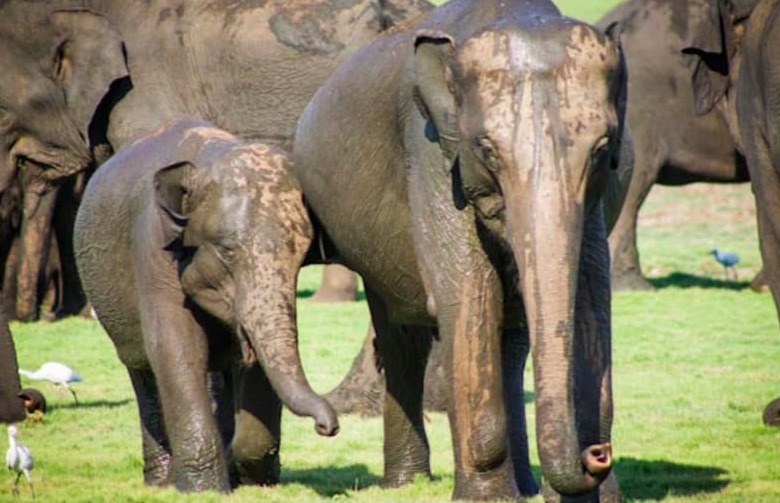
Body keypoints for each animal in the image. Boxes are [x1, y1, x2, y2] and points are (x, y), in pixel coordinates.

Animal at [74, 118, 338, 492]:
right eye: (227, 250)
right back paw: (161, 482)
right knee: (141, 371)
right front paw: (205, 489)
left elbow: (252, 363)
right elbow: (176, 348)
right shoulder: (153, 245)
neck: (209, 156)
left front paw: (249, 476)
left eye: (301, 257)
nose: (328, 427)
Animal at [296, 0, 632, 500]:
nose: (598, 454)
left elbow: (590, 297)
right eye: (487, 150)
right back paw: (406, 482)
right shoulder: (432, 151)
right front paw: (486, 498)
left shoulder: (594, 197)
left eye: (602, 148)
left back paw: (524, 485)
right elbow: (470, 293)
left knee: (510, 338)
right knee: (402, 338)